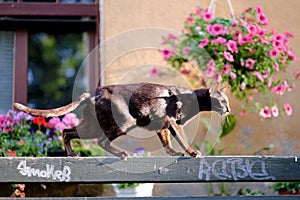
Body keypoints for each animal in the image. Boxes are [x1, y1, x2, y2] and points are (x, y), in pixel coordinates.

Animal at [12, 82, 231, 160]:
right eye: (223, 101)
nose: (229, 109)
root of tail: (92, 92)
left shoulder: (162, 125)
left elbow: (167, 143)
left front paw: (175, 153)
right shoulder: (172, 121)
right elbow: (182, 139)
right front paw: (193, 152)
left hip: (92, 125)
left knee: (66, 131)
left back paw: (73, 154)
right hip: (123, 122)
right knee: (101, 141)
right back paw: (123, 154)